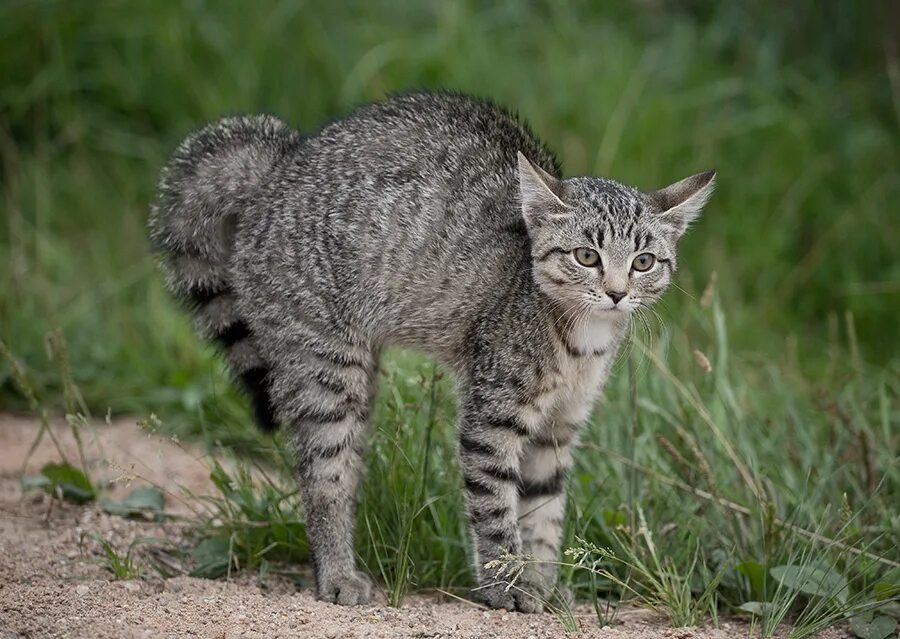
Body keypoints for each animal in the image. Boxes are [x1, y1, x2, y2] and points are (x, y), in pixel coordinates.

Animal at [149, 92, 716, 612]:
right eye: (586, 256)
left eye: (643, 262)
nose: (617, 293)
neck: (579, 343)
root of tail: (283, 163)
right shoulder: (492, 417)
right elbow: (496, 508)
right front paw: (505, 585)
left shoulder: (560, 426)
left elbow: (544, 512)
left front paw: (543, 585)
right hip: (326, 367)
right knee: (324, 477)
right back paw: (336, 574)